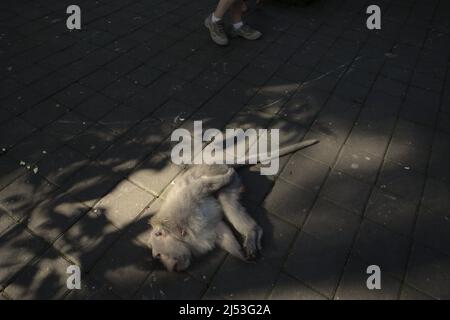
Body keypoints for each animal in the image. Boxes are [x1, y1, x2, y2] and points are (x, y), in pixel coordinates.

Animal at [148, 139, 316, 272]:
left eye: (158, 255)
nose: (170, 268)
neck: (180, 235)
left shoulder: (183, 202)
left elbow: (201, 186)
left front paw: (224, 177)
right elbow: (220, 231)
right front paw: (240, 255)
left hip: (225, 176)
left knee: (224, 197)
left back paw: (252, 232)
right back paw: (253, 234)